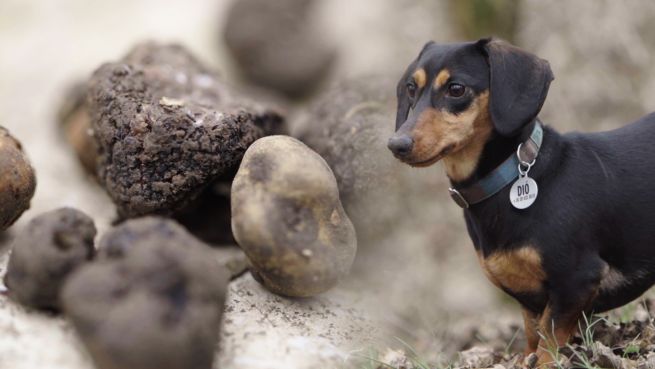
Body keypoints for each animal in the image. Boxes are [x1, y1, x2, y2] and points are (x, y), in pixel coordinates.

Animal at [390, 38, 655, 366]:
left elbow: (548, 342)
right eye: (411, 88)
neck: (507, 177)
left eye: (456, 89)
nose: (396, 144)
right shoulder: (529, 299)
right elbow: (533, 335)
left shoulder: (577, 280)